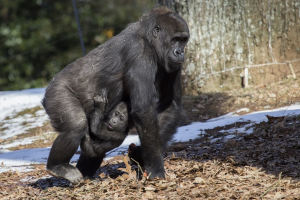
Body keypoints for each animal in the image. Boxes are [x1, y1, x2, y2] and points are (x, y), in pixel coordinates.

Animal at [42, 6, 189, 183]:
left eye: (183, 40)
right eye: (175, 39)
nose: (180, 52)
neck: (148, 39)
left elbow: (170, 104)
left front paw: (140, 154)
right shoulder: (139, 52)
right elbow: (144, 111)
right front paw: (156, 169)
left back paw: (85, 176)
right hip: (56, 93)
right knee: (75, 126)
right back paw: (58, 167)